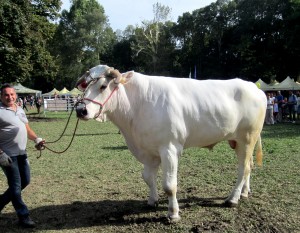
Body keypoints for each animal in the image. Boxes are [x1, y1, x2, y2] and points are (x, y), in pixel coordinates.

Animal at [75, 64, 268, 221]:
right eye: (84, 87)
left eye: (103, 86)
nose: (80, 110)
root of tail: (255, 88)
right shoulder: (148, 150)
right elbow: (147, 177)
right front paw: (152, 201)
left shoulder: (169, 148)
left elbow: (169, 185)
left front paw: (173, 213)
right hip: (238, 141)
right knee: (249, 165)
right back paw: (244, 193)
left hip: (247, 138)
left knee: (244, 168)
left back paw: (233, 199)